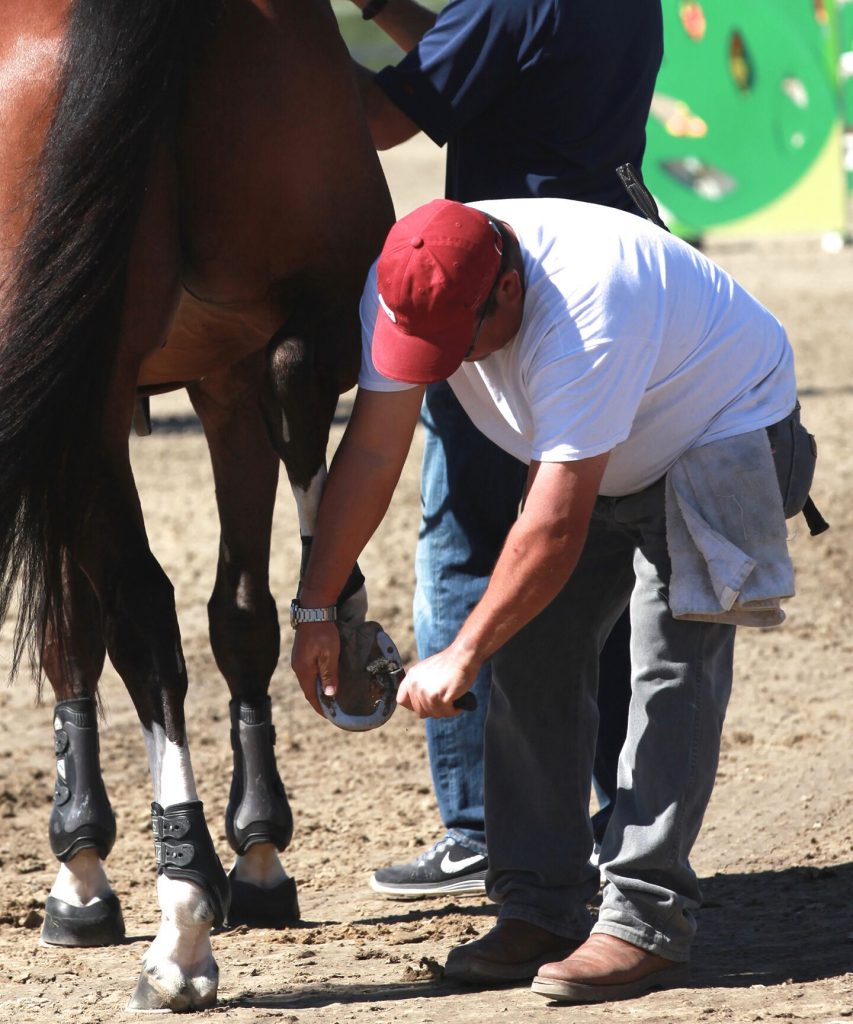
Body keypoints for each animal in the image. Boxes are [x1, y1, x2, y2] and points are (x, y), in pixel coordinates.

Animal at [0, 0, 394, 1011]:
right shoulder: (202, 379)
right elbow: (234, 617)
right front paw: (247, 855)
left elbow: (78, 629)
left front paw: (85, 871)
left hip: (107, 385)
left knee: (146, 617)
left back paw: (181, 930)